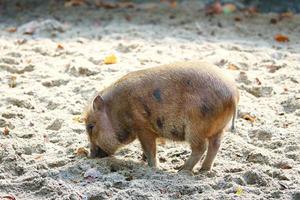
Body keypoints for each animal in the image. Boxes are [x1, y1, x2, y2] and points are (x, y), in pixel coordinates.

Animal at [84, 61, 239, 172]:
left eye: (90, 126)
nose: (90, 156)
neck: (116, 110)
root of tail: (233, 95)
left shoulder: (143, 128)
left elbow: (149, 148)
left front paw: (153, 167)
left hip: (196, 127)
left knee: (201, 147)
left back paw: (181, 170)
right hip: (219, 128)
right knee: (215, 145)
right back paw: (204, 170)